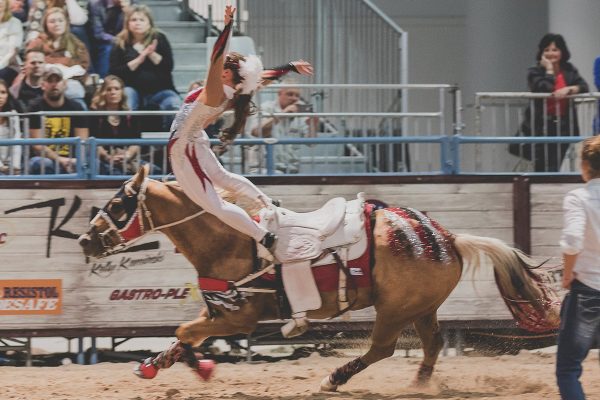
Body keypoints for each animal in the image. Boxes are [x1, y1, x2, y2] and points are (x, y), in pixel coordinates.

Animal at [77, 165, 560, 390]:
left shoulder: (239, 318)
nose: (85, 240)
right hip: (422, 308)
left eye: (118, 204)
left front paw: (201, 368)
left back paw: (335, 379)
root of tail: (448, 238)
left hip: (394, 308)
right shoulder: (220, 312)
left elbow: (183, 331)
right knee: (432, 345)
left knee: (383, 348)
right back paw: (419, 385)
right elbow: (183, 334)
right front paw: (154, 364)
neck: (233, 238)